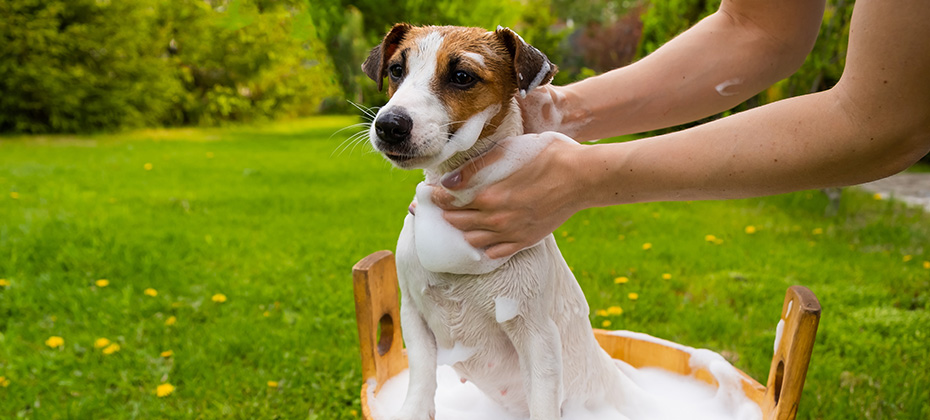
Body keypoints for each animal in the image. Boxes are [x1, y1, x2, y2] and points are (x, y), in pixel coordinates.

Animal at [360, 24, 632, 418]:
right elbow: (422, 379)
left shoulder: (537, 337)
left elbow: (543, 402)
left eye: (462, 76)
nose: (389, 125)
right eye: (397, 70)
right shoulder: (413, 314)